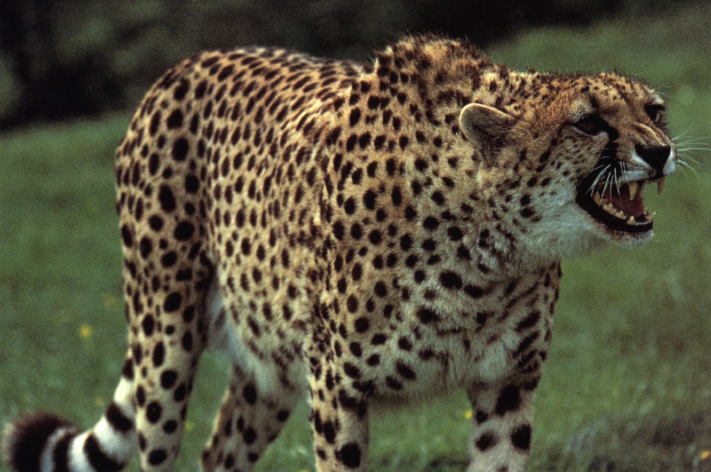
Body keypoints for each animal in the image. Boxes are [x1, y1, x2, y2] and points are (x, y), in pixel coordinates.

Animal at [2, 36, 676, 472]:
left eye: (654, 110)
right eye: (588, 123)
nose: (662, 150)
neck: (488, 252)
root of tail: (184, 64)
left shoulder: (506, 383)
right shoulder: (335, 386)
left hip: (269, 361)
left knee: (219, 451)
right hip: (165, 338)